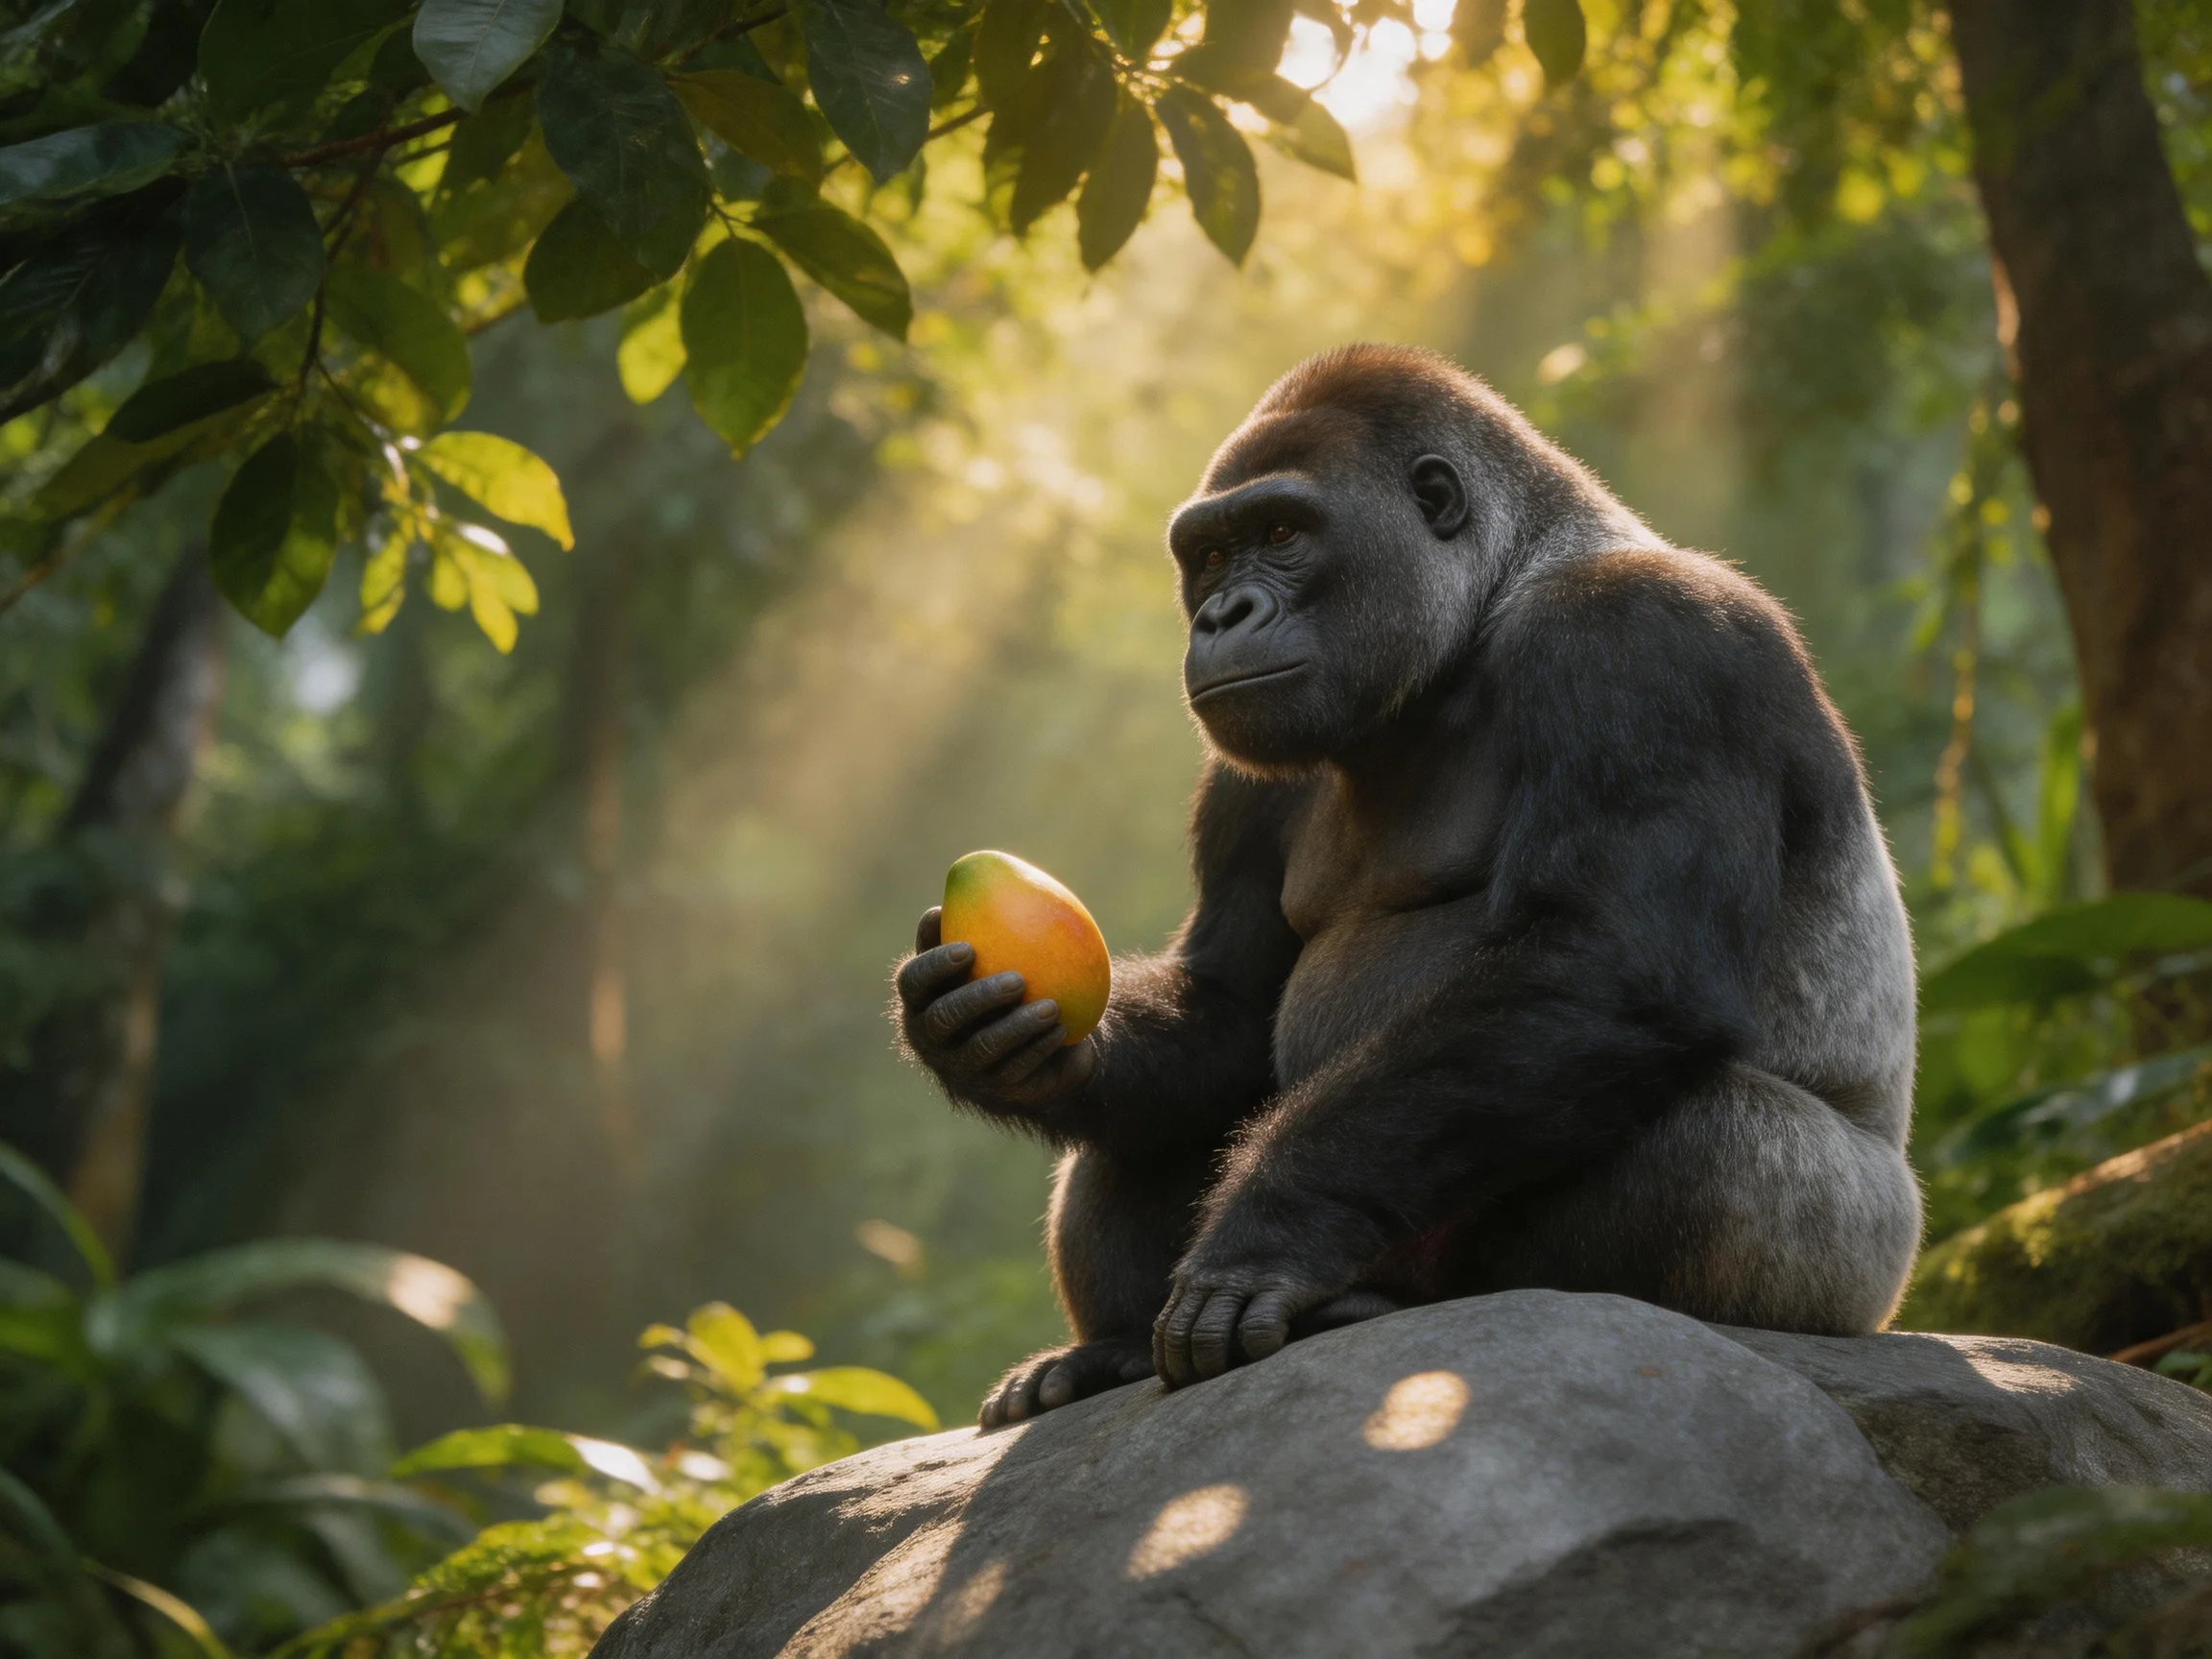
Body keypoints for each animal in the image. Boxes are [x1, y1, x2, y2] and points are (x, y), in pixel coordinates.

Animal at [895, 344, 1921, 1428]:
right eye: (1209, 554)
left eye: (1281, 534)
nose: (1222, 615)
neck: (1492, 601)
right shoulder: (1248, 774)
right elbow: (1227, 1008)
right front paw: (1000, 1049)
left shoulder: (1651, 638)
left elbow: (1607, 965)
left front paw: (1270, 1229)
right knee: (1148, 1126)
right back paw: (1113, 1352)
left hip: (1851, 1270)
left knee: (1700, 1144)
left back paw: (1379, 1301)